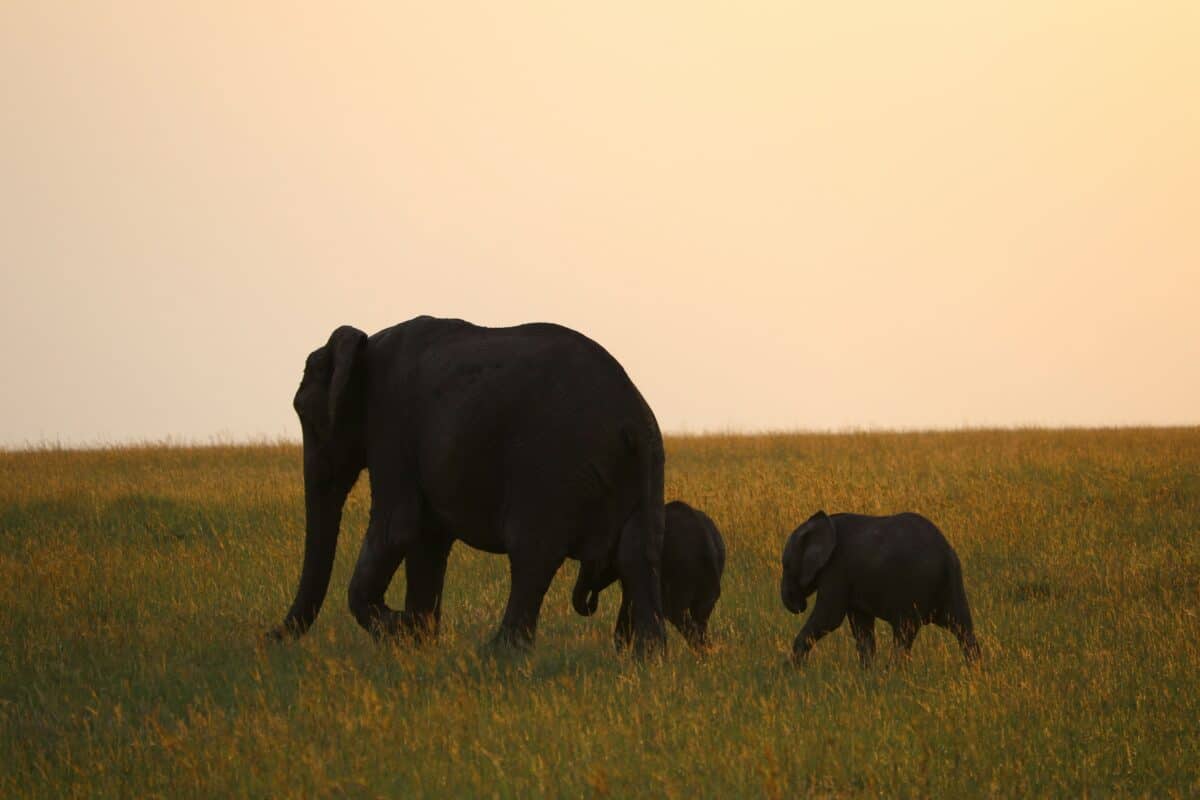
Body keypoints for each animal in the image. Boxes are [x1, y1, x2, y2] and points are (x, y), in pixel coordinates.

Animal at [266, 316, 672, 652]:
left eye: (306, 415)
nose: (267, 636)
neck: (366, 344)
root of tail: (631, 420)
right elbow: (426, 540)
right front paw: (417, 640)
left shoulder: (391, 423)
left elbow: (397, 528)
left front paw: (400, 630)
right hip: (647, 466)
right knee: (637, 552)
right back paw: (647, 658)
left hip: (551, 470)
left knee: (533, 553)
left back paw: (499, 654)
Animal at [782, 510, 979, 666]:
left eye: (786, 565)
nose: (798, 605)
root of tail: (945, 552)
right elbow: (861, 626)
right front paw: (867, 675)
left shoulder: (836, 568)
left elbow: (829, 618)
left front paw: (791, 671)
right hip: (952, 582)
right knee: (962, 627)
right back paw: (975, 671)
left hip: (913, 586)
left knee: (904, 632)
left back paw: (892, 674)